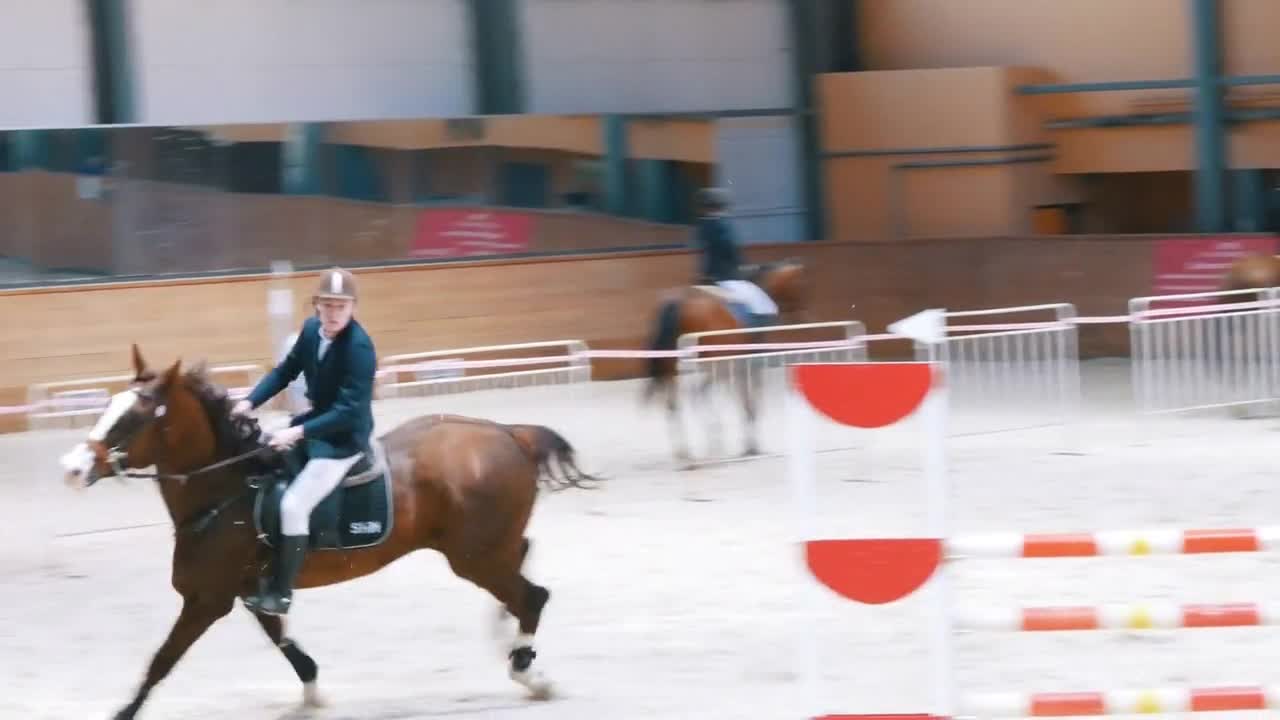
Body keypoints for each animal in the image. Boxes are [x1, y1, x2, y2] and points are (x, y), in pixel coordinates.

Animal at [58, 345, 599, 712]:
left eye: (135, 417)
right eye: (109, 406)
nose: (73, 467)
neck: (227, 489)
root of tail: (507, 433)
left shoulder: (206, 601)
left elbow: (159, 664)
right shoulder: (250, 591)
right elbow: (283, 641)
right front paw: (314, 693)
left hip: (474, 557)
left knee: (532, 597)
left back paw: (528, 673)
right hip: (486, 550)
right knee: (522, 566)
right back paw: (508, 637)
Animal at [645, 258, 814, 466]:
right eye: (802, 285)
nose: (806, 317)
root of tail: (680, 301)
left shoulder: (732, 363)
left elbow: (738, 396)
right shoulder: (749, 361)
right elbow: (750, 399)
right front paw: (751, 445)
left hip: (676, 364)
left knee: (676, 401)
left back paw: (686, 450)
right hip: (708, 361)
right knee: (696, 393)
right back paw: (710, 439)